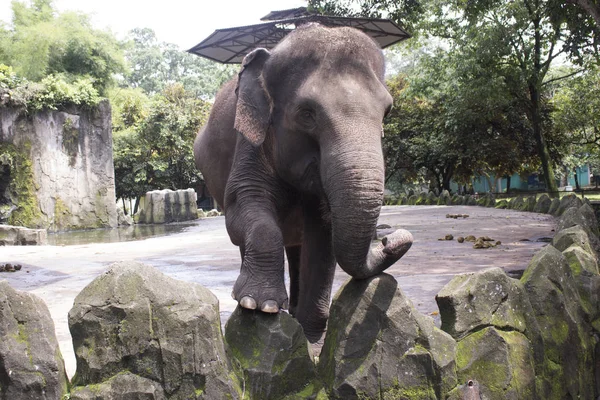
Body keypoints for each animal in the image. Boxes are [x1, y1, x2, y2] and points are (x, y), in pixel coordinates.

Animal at [193, 21, 412, 342]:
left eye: (387, 112)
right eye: (307, 114)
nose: (388, 239)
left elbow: (323, 233)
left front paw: (310, 335)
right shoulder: (251, 139)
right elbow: (245, 206)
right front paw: (260, 305)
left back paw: (293, 310)